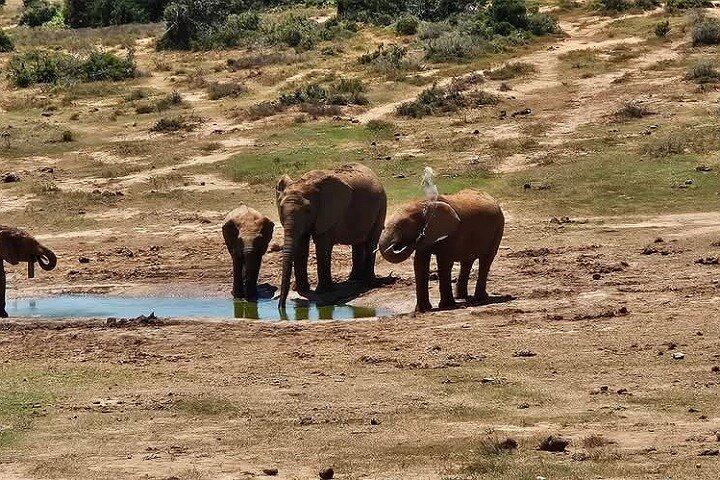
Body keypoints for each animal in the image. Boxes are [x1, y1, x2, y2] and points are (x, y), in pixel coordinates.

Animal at [275, 163, 387, 307]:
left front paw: (323, 291)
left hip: (381, 206)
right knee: (358, 242)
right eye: (281, 208)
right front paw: (302, 290)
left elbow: (323, 246)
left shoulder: (327, 214)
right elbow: (301, 246)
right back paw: (354, 279)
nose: (281, 307)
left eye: (308, 210)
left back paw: (368, 282)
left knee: (371, 241)